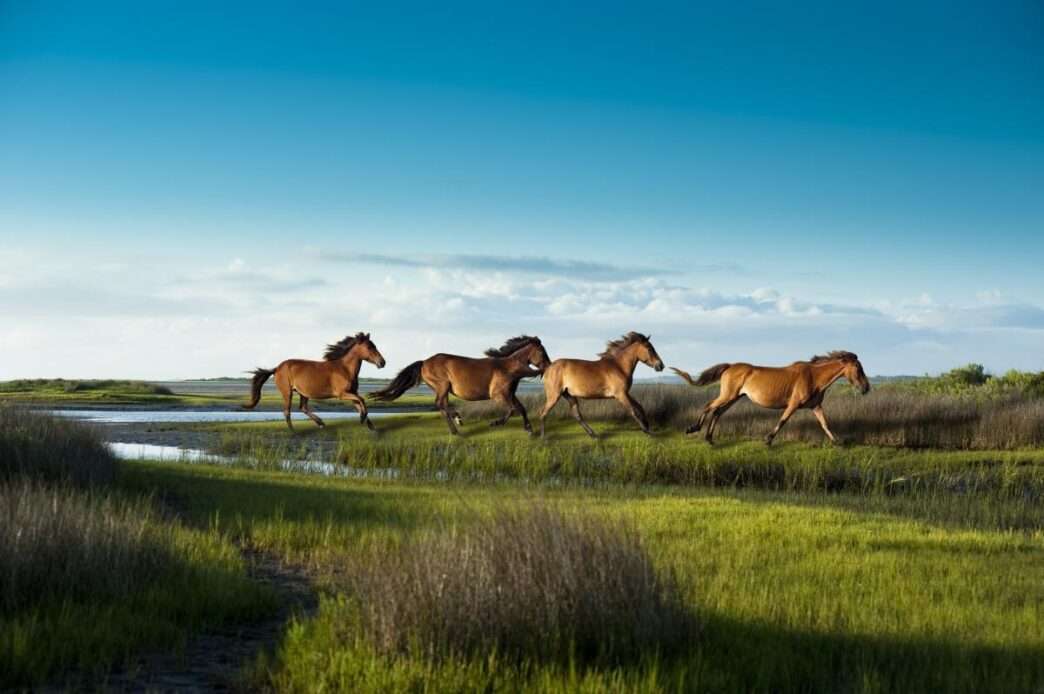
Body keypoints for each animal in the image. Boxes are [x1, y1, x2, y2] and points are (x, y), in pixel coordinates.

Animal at [245, 332, 386, 431]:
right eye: (369, 347)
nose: (382, 362)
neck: (344, 369)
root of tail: (277, 368)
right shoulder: (342, 394)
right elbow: (362, 400)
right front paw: (363, 419)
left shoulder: (351, 394)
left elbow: (360, 404)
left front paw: (371, 427)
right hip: (287, 392)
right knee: (287, 411)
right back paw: (293, 430)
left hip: (303, 393)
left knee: (303, 408)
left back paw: (321, 423)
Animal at [368, 336, 551, 435]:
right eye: (542, 352)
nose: (549, 366)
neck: (508, 368)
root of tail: (424, 362)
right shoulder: (499, 395)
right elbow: (514, 410)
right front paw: (496, 423)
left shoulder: (510, 394)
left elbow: (522, 408)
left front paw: (529, 429)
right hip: (442, 386)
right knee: (440, 404)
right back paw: (457, 422)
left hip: (444, 389)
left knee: (443, 406)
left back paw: (456, 425)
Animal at [671, 350, 870, 445]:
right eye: (858, 368)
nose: (866, 388)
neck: (814, 377)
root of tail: (729, 366)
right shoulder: (793, 404)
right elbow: (782, 421)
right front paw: (768, 440)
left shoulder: (815, 406)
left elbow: (825, 424)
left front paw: (837, 442)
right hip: (728, 395)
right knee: (709, 406)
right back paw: (693, 428)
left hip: (735, 397)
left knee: (717, 412)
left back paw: (709, 438)